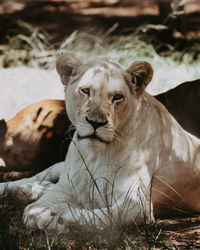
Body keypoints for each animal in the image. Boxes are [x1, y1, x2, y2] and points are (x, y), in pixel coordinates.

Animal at [0, 53, 200, 233]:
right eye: (85, 91)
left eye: (118, 97)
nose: (95, 122)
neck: (95, 155)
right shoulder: (67, 186)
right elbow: (34, 207)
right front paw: (41, 211)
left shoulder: (137, 203)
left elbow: (99, 217)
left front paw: (55, 217)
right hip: (60, 167)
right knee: (35, 177)